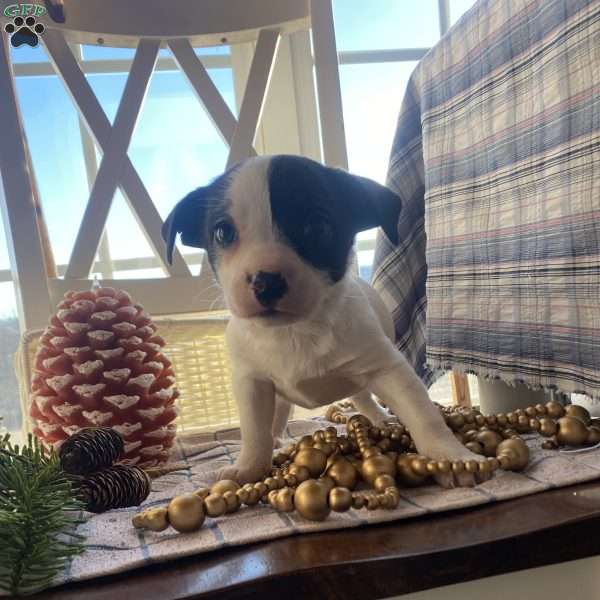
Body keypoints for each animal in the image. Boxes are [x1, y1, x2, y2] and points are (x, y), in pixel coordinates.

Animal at [163, 155, 482, 488]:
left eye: (317, 227)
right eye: (222, 232)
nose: (266, 282)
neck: (295, 331)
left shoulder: (388, 368)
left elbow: (423, 415)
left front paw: (449, 456)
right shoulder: (252, 383)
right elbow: (253, 431)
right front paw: (249, 466)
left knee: (363, 397)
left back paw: (380, 417)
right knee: (278, 415)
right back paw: (277, 437)